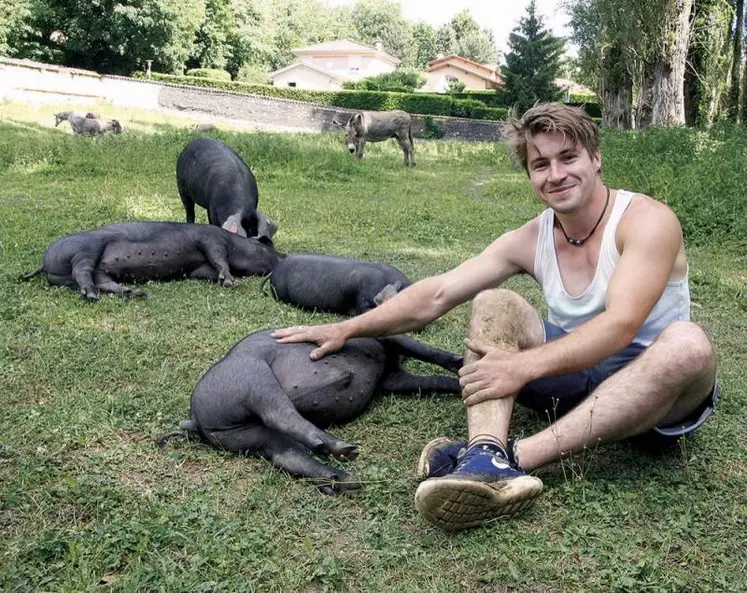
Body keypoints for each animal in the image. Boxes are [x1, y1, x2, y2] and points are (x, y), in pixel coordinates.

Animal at [21, 221, 284, 300]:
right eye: (264, 247)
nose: (284, 256)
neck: (234, 243)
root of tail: (45, 262)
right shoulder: (210, 239)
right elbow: (219, 259)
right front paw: (230, 281)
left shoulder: (197, 268)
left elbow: (206, 270)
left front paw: (226, 280)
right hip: (85, 248)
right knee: (81, 271)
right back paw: (92, 295)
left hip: (95, 269)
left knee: (101, 280)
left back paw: (135, 293)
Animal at [158, 330, 462, 492]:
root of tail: (194, 420)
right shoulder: (384, 338)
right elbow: (418, 346)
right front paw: (458, 362)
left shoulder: (392, 379)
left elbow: (431, 381)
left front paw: (458, 381)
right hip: (253, 377)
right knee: (280, 414)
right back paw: (344, 451)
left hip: (244, 435)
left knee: (286, 452)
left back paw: (343, 480)